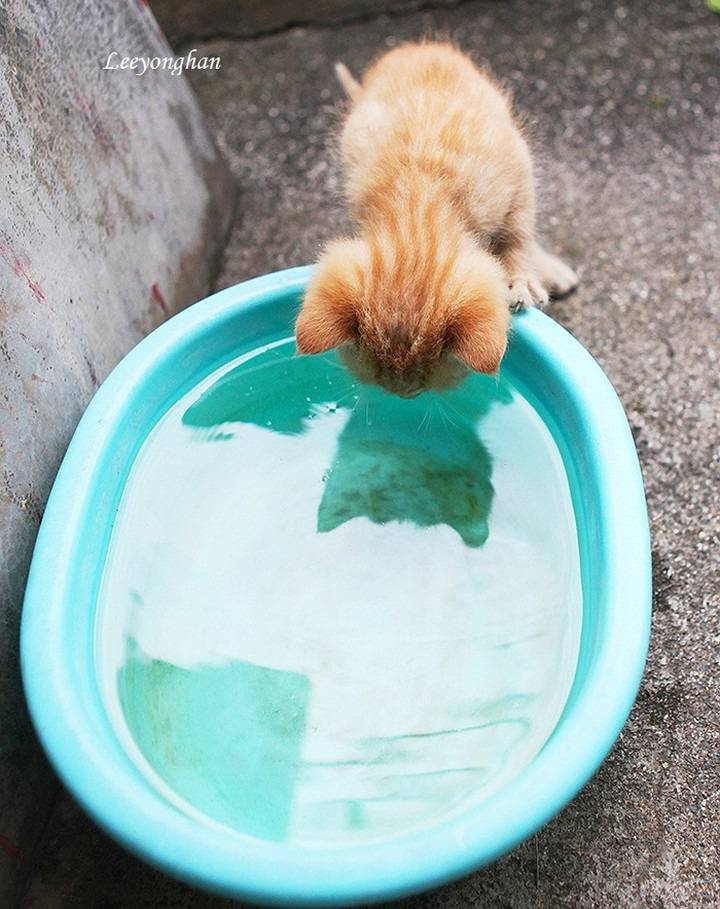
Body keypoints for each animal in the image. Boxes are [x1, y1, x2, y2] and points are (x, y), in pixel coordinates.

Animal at [296, 42, 576, 398]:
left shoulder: (518, 170)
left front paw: (519, 279)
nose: (404, 395)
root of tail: (414, 47)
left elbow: (518, 234)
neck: (420, 193)